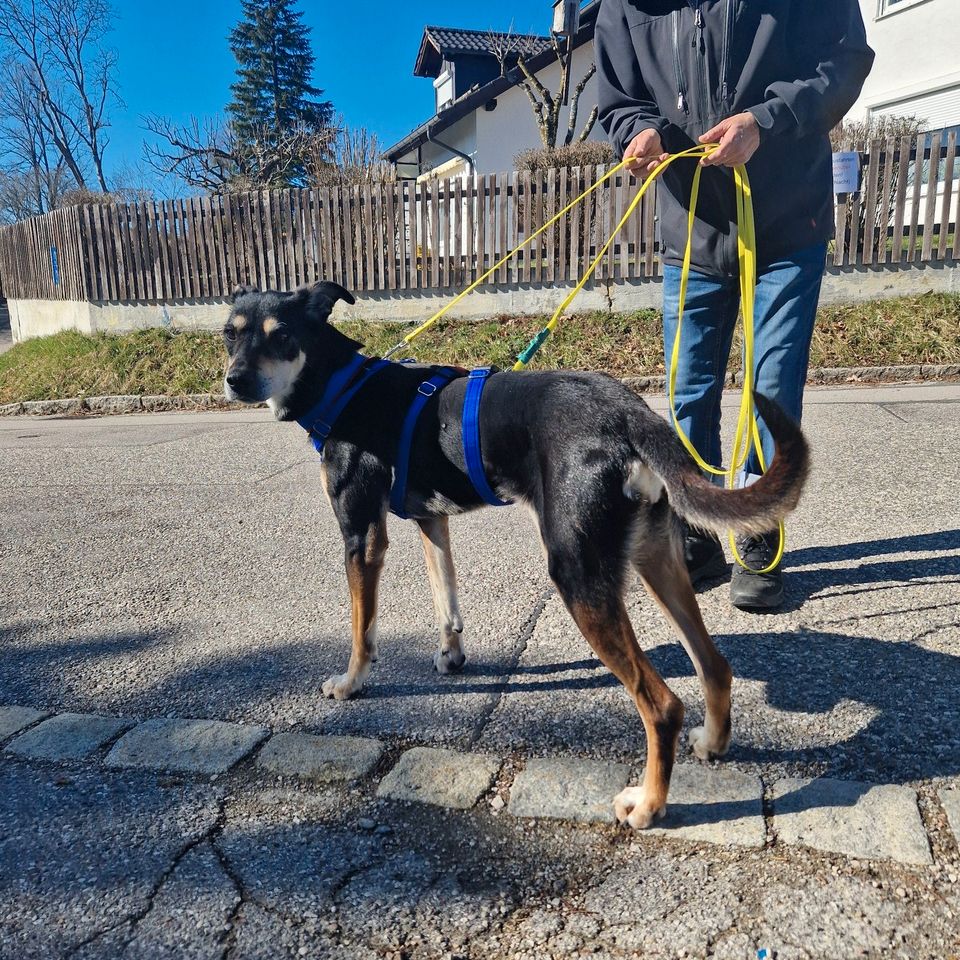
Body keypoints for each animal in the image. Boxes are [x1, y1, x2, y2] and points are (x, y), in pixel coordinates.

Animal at [225, 282, 808, 828]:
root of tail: (628, 413)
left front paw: (350, 684)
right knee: (714, 664)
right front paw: (451, 655)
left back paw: (648, 805)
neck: (343, 386)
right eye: (231, 334)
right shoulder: (431, 522)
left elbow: (361, 630)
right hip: (656, 562)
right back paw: (711, 742)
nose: (234, 380)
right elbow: (445, 598)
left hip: (577, 574)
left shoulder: (362, 535)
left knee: (662, 706)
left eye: (281, 336)